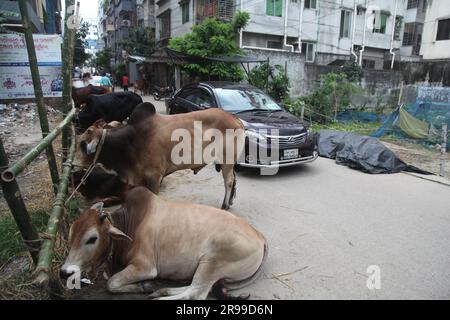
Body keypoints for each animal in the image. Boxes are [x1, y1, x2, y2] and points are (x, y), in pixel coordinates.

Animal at [77, 101, 246, 209]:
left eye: (83, 143)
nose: (75, 165)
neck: (130, 141)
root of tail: (236, 118)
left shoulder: (154, 176)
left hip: (227, 160)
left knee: (229, 181)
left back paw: (225, 205)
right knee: (234, 179)